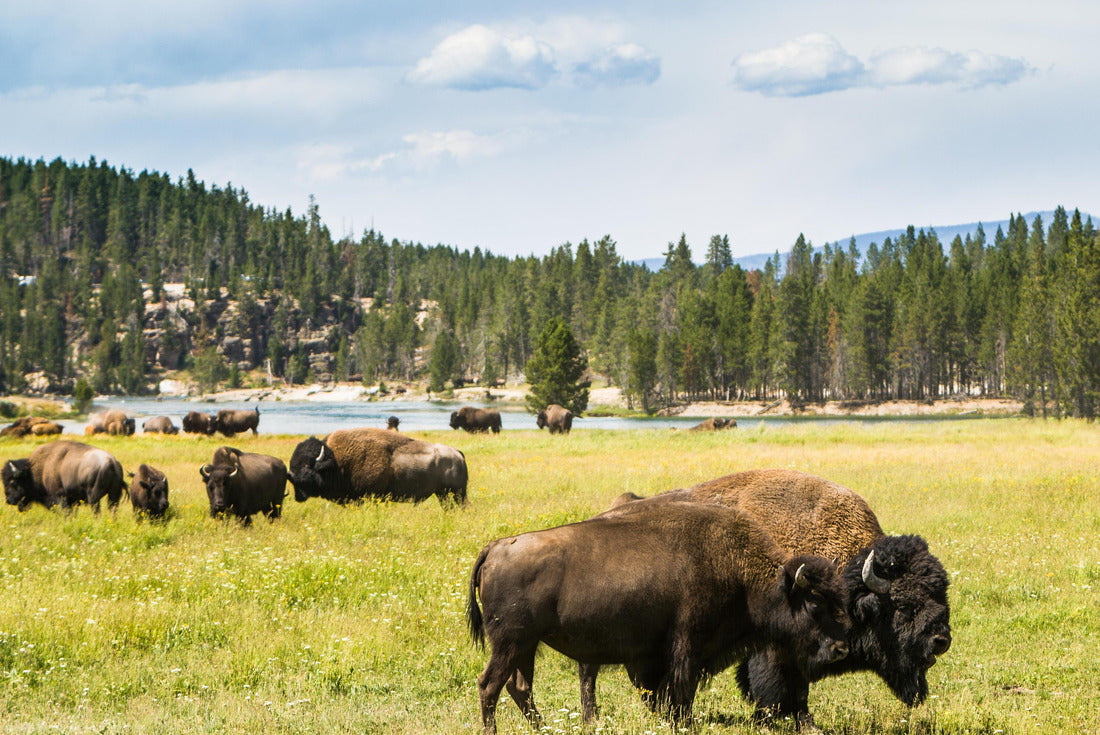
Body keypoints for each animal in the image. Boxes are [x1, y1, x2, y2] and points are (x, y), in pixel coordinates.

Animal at [468, 500, 849, 733]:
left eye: (839, 600)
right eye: (815, 603)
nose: (841, 648)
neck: (740, 570)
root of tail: (495, 547)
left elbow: (665, 692)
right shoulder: (687, 644)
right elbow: (682, 689)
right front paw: (686, 723)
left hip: (526, 646)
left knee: (519, 687)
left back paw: (543, 726)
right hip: (510, 643)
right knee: (489, 685)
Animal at [607, 469, 951, 728]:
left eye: (941, 594)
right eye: (904, 606)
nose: (941, 641)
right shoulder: (778, 648)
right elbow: (783, 686)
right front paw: (790, 721)